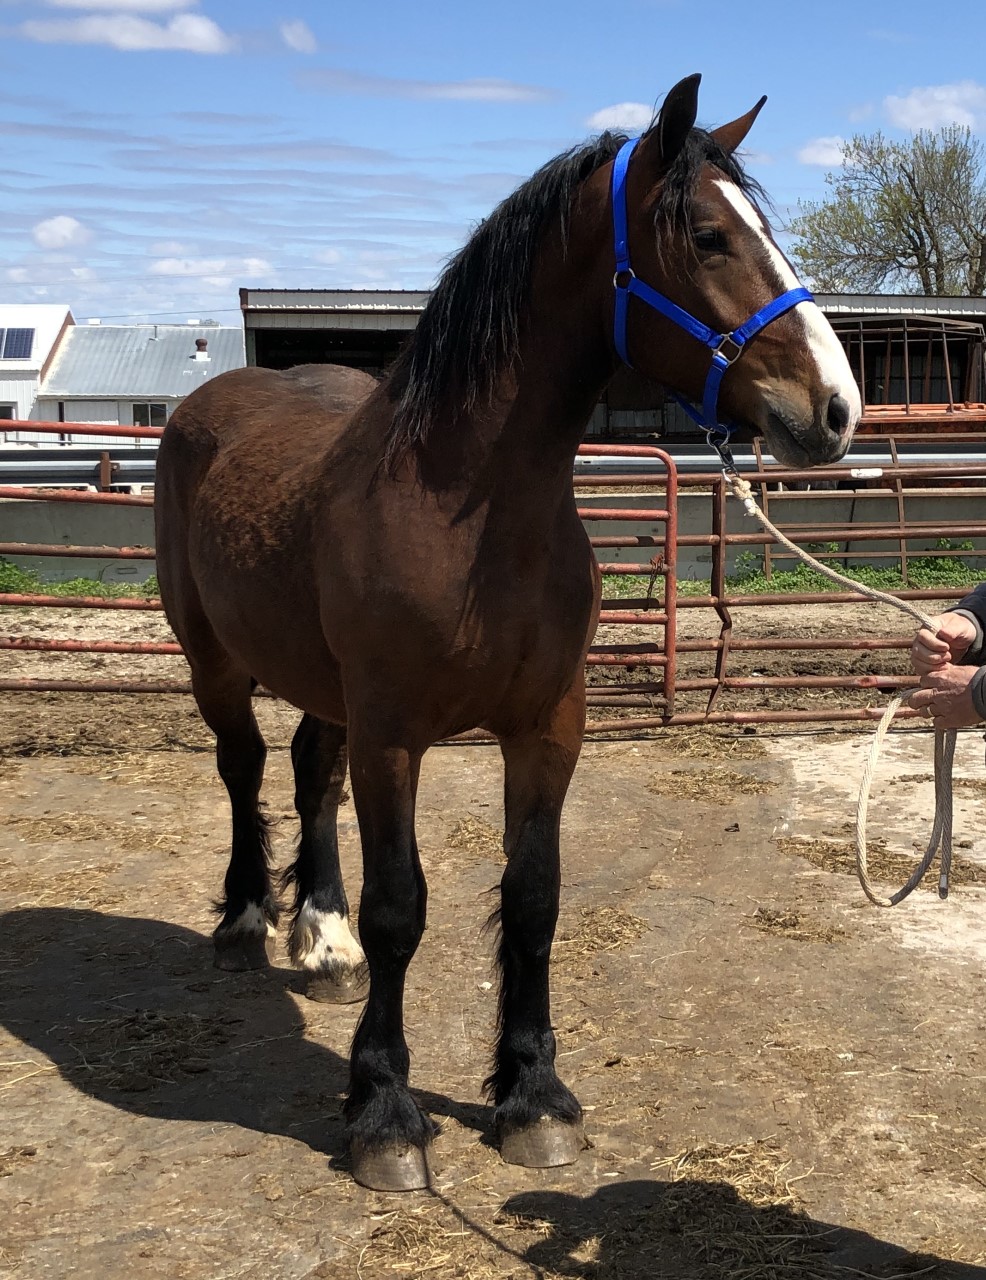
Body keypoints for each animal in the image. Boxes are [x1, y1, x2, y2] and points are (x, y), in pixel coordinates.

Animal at [154, 72, 862, 1192]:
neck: (469, 512)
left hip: (320, 683)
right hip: (215, 662)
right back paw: (246, 920)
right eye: (708, 236)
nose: (835, 410)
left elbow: (533, 900)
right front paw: (384, 1112)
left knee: (309, 772)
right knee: (243, 768)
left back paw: (320, 936)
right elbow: (402, 907)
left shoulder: (546, 727)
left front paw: (532, 1096)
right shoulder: (395, 735)